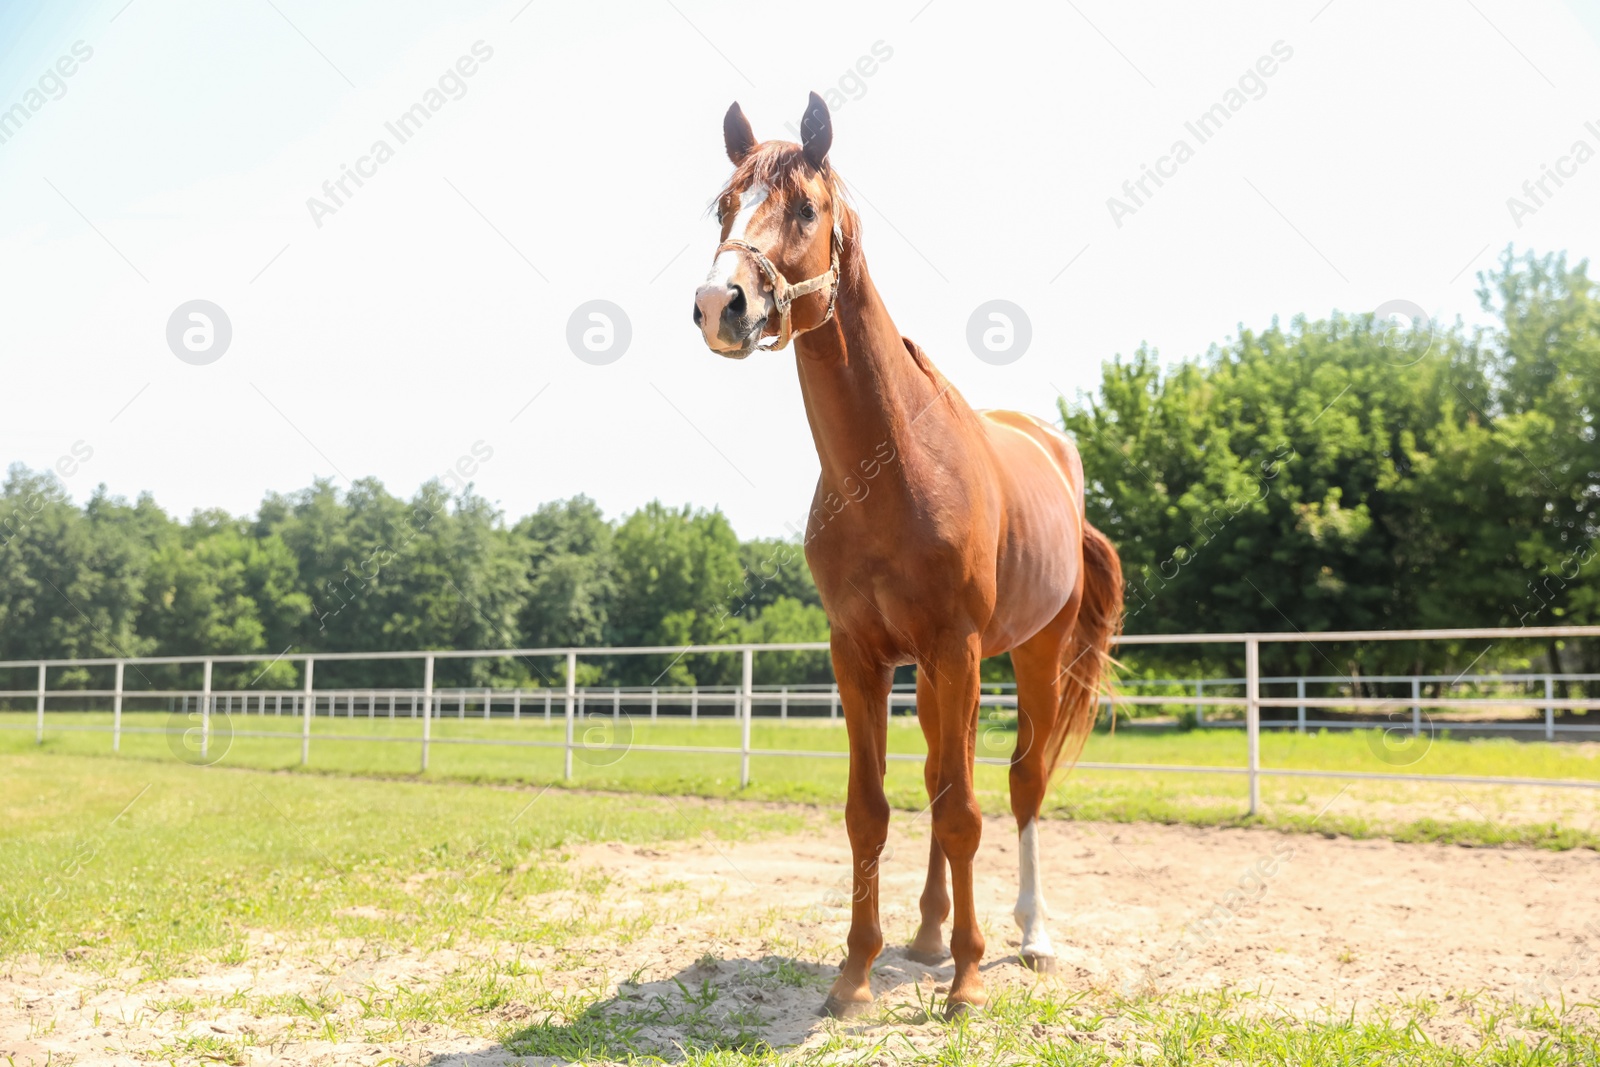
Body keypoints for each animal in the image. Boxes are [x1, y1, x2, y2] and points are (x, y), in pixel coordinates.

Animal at [691, 93, 1126, 1017]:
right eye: (723, 207)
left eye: (806, 208)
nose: (720, 303)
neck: (892, 467)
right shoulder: (859, 655)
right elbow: (874, 808)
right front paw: (856, 974)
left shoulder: (958, 649)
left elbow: (965, 811)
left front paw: (967, 980)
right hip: (933, 674)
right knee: (938, 773)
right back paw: (927, 934)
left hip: (1031, 654)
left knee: (1021, 782)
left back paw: (1030, 936)